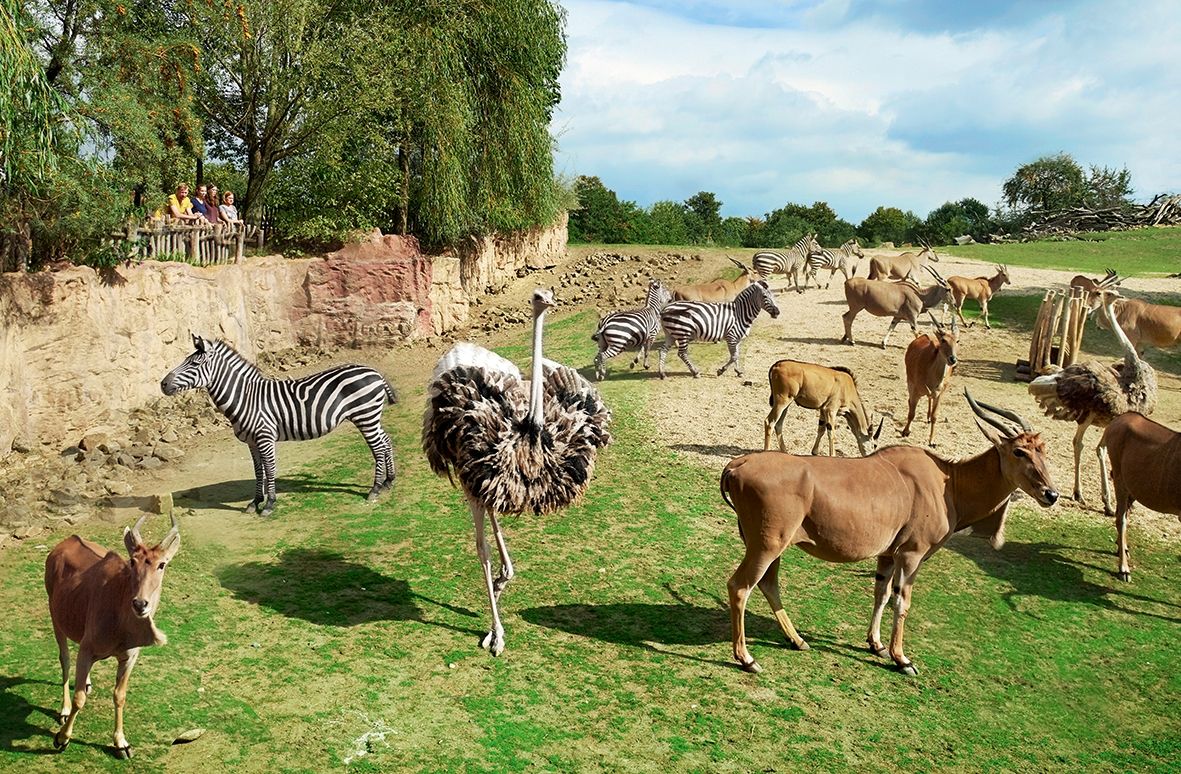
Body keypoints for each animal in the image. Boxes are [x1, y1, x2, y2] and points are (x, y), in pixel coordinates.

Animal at [160, 334, 398, 516]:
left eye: (194, 364)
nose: (163, 384)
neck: (246, 398)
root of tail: (375, 372)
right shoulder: (251, 442)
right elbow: (258, 471)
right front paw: (255, 502)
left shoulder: (265, 437)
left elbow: (270, 468)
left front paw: (269, 504)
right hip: (371, 416)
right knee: (385, 440)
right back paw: (389, 481)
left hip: (365, 415)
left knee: (378, 447)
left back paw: (375, 489)